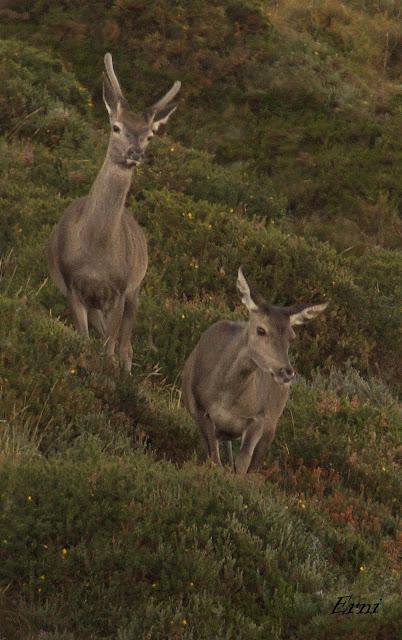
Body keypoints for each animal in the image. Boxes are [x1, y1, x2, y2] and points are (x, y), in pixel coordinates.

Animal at [182, 268, 330, 476]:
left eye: (291, 336)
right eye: (261, 330)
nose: (287, 372)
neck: (225, 398)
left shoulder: (260, 417)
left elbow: (243, 464)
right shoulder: (198, 407)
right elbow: (214, 459)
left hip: (272, 421)